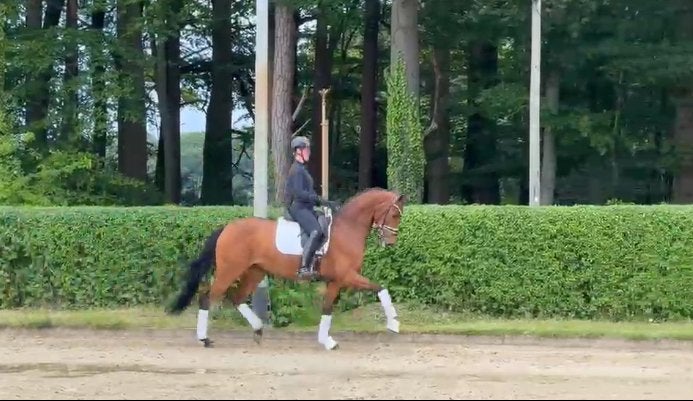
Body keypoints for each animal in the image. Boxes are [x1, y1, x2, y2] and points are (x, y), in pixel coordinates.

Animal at [167, 187, 407, 350]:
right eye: (395, 215)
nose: (391, 243)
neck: (347, 229)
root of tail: (227, 227)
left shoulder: (334, 281)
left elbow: (327, 308)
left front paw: (325, 340)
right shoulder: (346, 277)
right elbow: (380, 288)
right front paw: (394, 324)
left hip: (255, 272)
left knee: (237, 297)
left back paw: (258, 329)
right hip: (229, 270)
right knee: (208, 296)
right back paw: (204, 338)